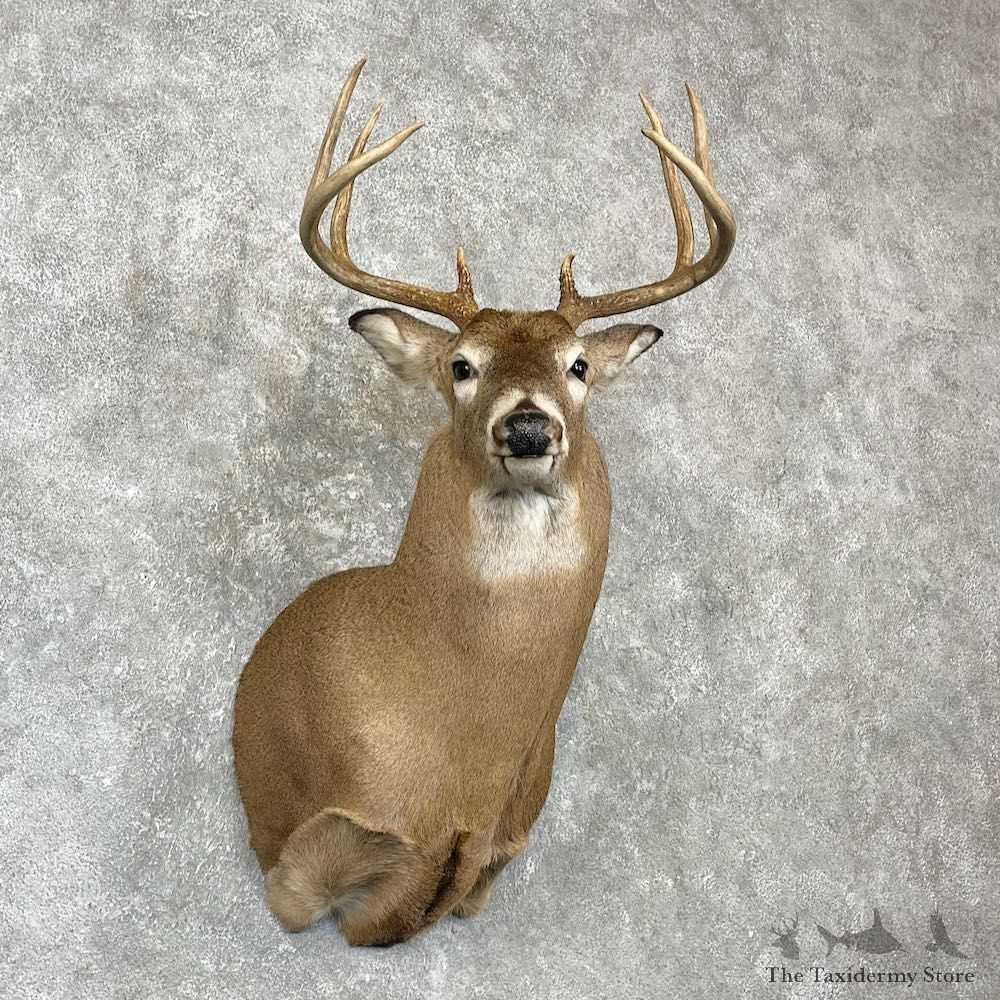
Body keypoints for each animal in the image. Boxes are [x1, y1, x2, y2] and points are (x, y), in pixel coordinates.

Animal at [232, 57, 735, 947]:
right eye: (461, 365)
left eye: (577, 365)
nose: (528, 425)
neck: (468, 758)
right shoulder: (306, 863)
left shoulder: (500, 842)